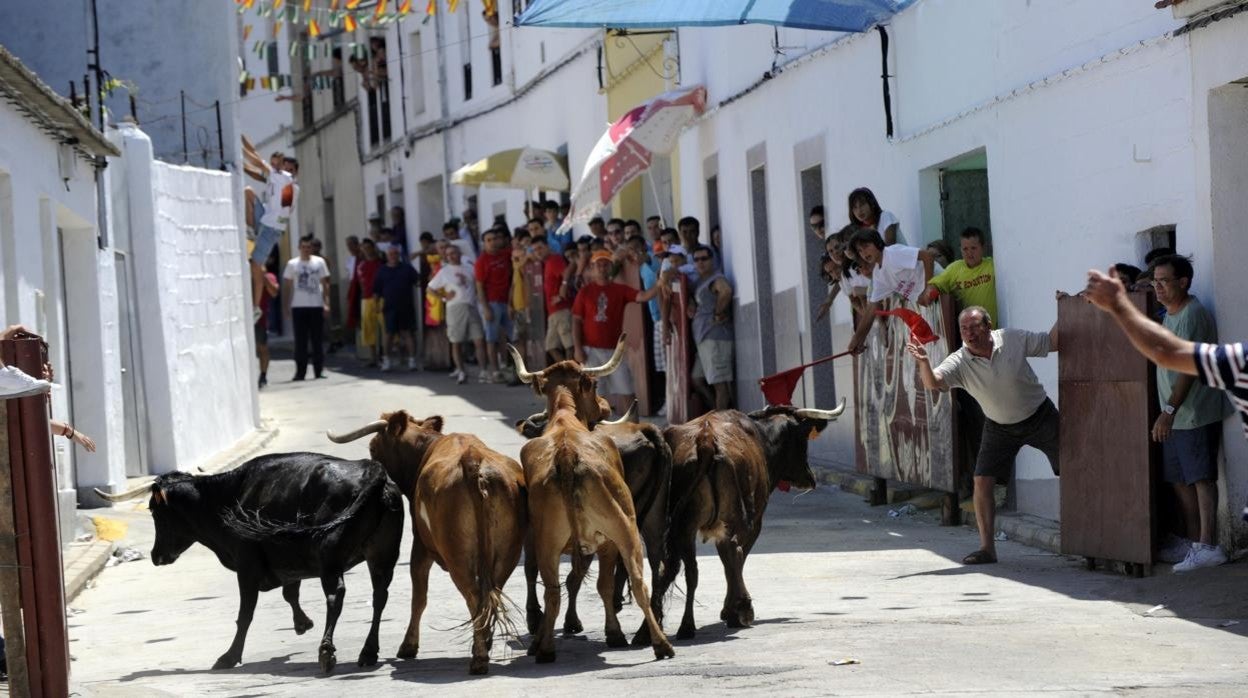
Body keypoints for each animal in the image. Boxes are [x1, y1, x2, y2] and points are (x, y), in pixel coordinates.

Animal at [97, 449, 399, 674]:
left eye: (154, 511)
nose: (155, 556)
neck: (222, 498)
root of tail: (372, 471)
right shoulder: (287, 562)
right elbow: (290, 592)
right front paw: (302, 623)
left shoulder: (247, 567)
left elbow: (245, 615)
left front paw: (229, 657)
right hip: (383, 555)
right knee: (380, 596)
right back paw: (368, 652)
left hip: (331, 559)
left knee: (336, 596)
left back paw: (327, 653)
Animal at [326, 412, 526, 674]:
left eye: (372, 448)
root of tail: (472, 461)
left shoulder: (420, 546)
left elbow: (419, 598)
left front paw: (408, 646)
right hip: (506, 554)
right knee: (491, 594)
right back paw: (483, 644)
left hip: (457, 557)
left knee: (473, 596)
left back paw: (479, 658)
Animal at [638, 404, 843, 644]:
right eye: (803, 439)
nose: (810, 479)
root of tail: (706, 440)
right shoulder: (756, 519)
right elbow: (737, 558)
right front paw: (732, 609)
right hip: (735, 517)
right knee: (733, 552)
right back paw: (742, 611)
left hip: (685, 525)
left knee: (687, 569)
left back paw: (675, 627)